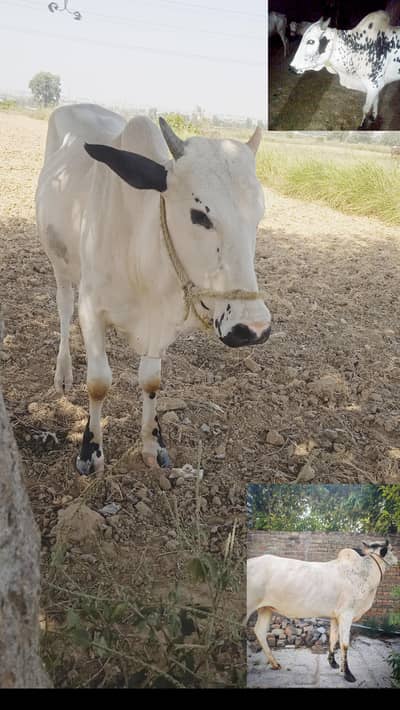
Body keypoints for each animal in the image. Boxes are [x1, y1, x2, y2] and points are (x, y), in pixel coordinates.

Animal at [35, 104, 271, 475]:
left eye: (259, 215)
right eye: (198, 215)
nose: (254, 328)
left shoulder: (162, 322)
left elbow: (151, 380)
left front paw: (152, 443)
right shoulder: (91, 309)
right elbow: (98, 383)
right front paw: (90, 450)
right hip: (59, 262)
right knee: (62, 308)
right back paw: (63, 373)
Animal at [247, 540, 398, 683]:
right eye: (391, 549)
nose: (397, 559)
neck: (364, 573)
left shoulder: (336, 616)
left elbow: (333, 639)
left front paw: (334, 663)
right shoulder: (346, 615)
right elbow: (344, 644)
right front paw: (348, 673)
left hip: (266, 608)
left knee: (259, 631)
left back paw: (275, 664)